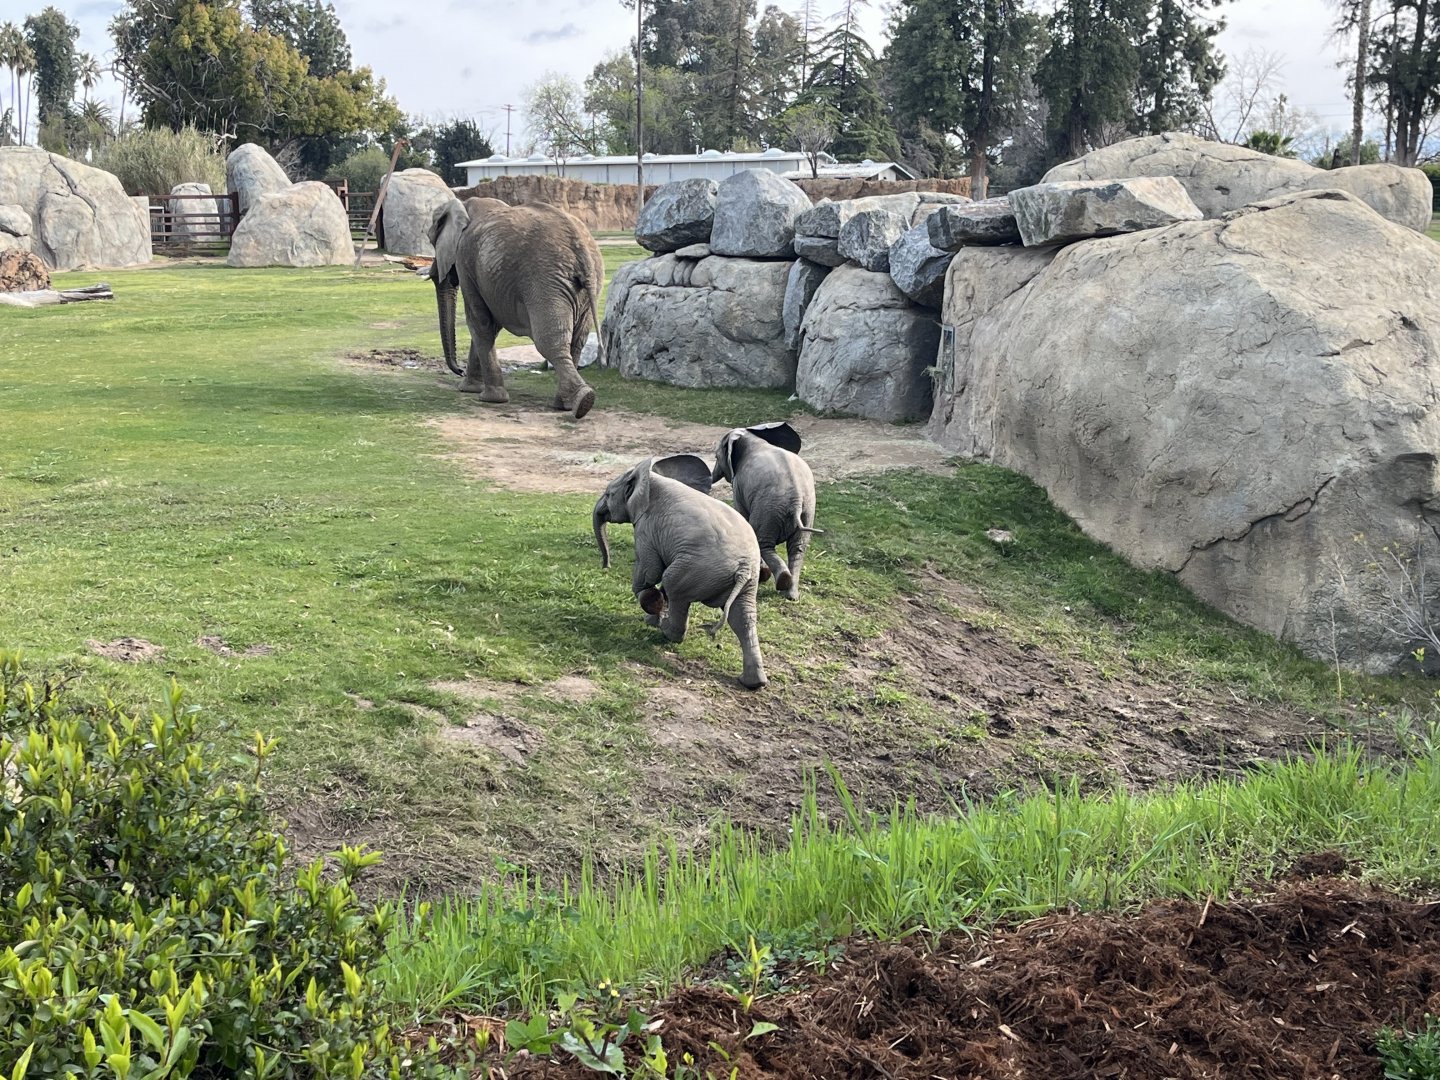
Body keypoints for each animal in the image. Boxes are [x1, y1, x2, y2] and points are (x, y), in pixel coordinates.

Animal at [429, 196, 604, 419]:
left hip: (544, 281)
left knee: (549, 341)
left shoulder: (464, 260)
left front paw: (489, 398)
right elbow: (489, 325)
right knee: (577, 340)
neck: (464, 205)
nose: (459, 370)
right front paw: (470, 389)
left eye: (431, 240)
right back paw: (570, 403)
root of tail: (580, 246)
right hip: (587, 286)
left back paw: (580, 403)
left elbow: (479, 322)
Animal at [593, 454, 768, 689]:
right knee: (743, 617)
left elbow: (649, 572)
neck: (651, 478)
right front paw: (653, 611)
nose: (606, 566)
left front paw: (652, 607)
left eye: (609, 494)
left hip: (696, 570)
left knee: (674, 588)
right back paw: (752, 683)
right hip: (746, 581)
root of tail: (743, 567)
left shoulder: (646, 528)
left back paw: (666, 631)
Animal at [711, 422, 820, 601]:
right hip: (807, 510)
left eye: (715, 456)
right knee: (798, 547)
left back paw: (777, 580)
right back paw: (790, 593)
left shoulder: (739, 485)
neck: (752, 437)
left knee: (763, 542)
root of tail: (796, 501)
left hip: (769, 508)